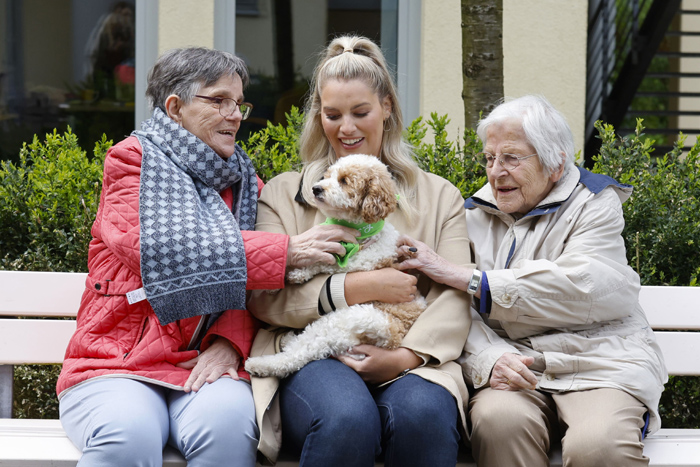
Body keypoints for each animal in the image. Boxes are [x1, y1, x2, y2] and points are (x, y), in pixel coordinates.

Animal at [245, 155, 426, 378]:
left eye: (344, 180)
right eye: (327, 176)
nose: (316, 189)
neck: (359, 230)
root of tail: (392, 336)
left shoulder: (362, 261)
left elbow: (326, 261)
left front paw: (296, 273)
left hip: (340, 322)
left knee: (298, 355)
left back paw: (259, 364)